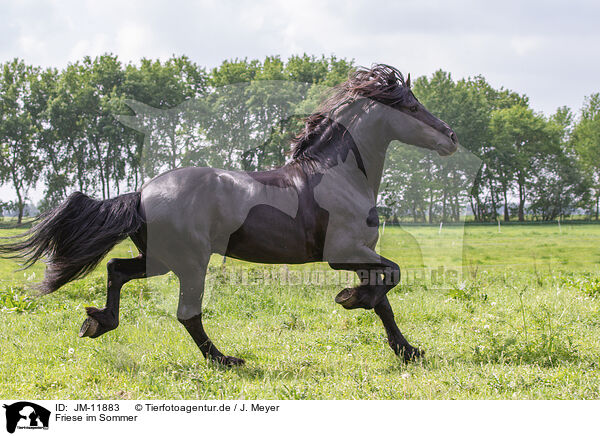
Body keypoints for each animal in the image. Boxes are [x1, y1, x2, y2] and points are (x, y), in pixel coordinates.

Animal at [1, 64, 460, 364]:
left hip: (160, 261)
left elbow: (385, 299)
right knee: (187, 313)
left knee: (117, 269)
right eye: (412, 107)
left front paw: (407, 350)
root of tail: (141, 192)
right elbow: (391, 277)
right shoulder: (342, 253)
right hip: (190, 262)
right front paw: (351, 299)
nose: (451, 137)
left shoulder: (360, 254)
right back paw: (225, 360)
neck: (340, 175)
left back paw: (97, 323)